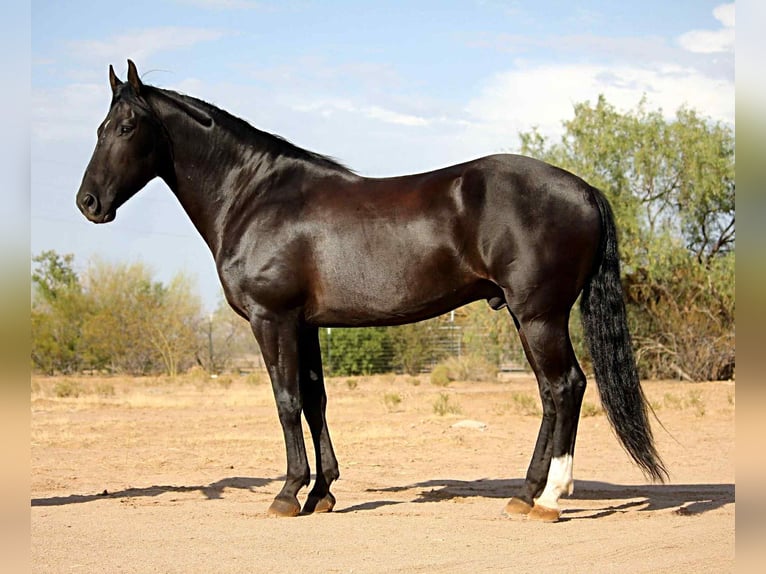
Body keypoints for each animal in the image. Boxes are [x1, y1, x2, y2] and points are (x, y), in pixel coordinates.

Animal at [76, 60, 666, 522]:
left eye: (127, 126)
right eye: (99, 127)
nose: (88, 203)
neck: (255, 196)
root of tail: (584, 188)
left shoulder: (273, 319)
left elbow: (287, 402)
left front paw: (287, 494)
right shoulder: (306, 325)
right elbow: (315, 401)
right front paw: (321, 493)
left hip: (540, 315)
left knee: (565, 387)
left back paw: (549, 500)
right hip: (527, 318)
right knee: (549, 393)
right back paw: (524, 494)